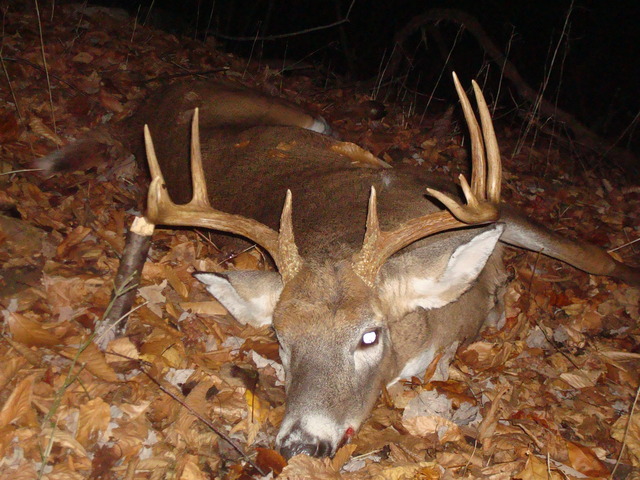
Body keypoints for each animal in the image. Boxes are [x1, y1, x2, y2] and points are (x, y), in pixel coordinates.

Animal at [104, 73, 639, 459]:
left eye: (369, 335)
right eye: (281, 338)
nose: (302, 444)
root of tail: (158, 95)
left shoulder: (459, 196)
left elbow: (594, 256)